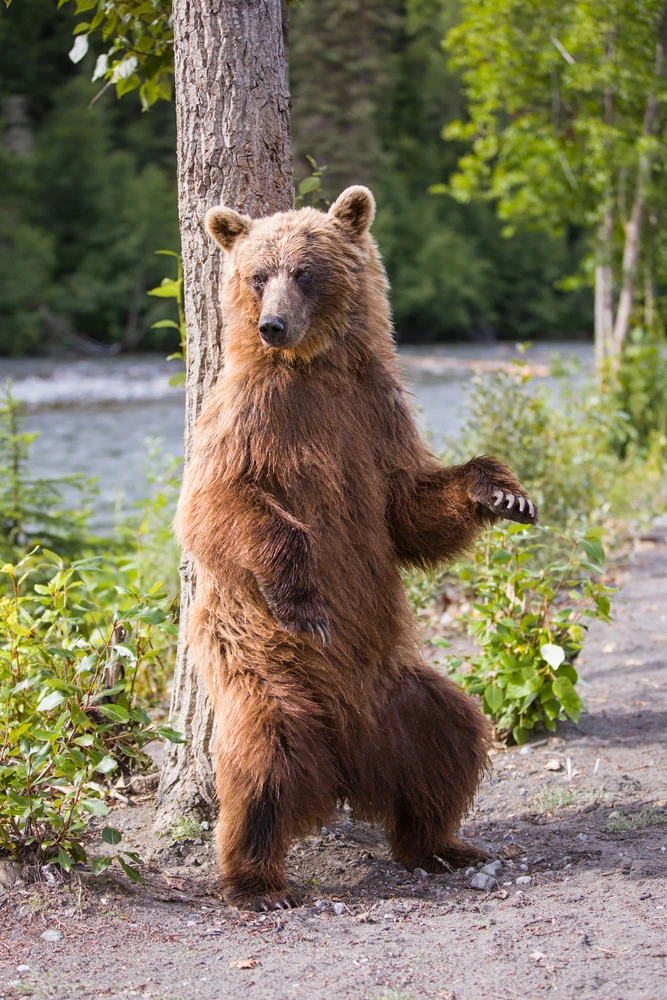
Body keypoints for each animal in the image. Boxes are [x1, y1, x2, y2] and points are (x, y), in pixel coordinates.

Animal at [175, 185, 538, 912]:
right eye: (258, 275)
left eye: (305, 272)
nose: (272, 326)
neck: (316, 368)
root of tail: (346, 759)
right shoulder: (248, 417)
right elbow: (216, 506)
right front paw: (304, 597)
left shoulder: (375, 414)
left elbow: (407, 507)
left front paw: (502, 494)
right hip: (265, 668)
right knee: (262, 764)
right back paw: (257, 881)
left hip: (396, 690)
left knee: (450, 735)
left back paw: (442, 843)